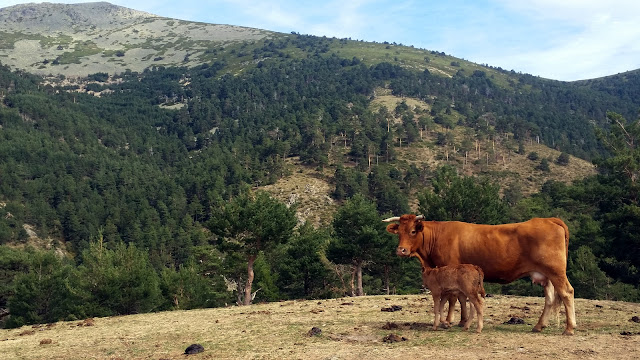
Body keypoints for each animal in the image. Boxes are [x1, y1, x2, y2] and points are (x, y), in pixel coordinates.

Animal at [382, 214, 576, 334]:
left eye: (413, 231)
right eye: (399, 232)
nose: (401, 250)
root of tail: (549, 219)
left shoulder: (450, 269)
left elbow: (453, 298)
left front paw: (448, 321)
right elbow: (462, 298)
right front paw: (461, 321)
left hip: (556, 272)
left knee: (567, 293)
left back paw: (569, 328)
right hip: (546, 275)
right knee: (550, 299)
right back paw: (539, 325)